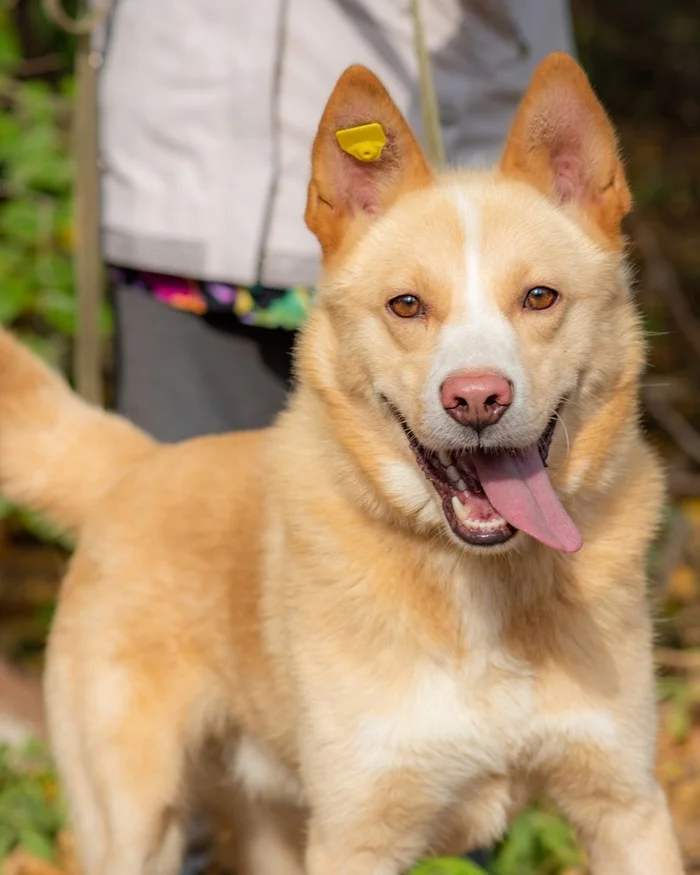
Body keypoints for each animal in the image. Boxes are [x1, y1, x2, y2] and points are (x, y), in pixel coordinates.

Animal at [0, 54, 684, 875]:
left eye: (540, 297)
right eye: (407, 305)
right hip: (138, 824)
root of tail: (137, 463)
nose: (476, 398)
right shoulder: (357, 835)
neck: (480, 583)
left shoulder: (627, 808)